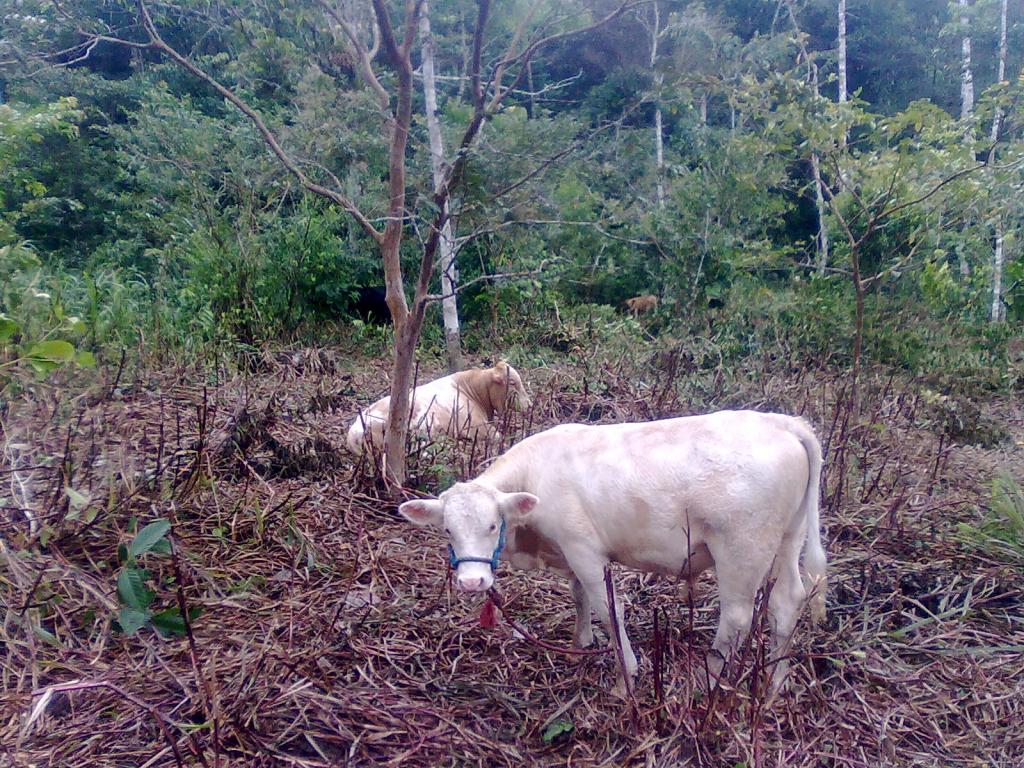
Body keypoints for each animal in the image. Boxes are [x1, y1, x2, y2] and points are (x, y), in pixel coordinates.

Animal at [395, 411, 827, 696]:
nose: (472, 582)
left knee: (736, 618)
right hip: (787, 537)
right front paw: (578, 645)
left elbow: (609, 608)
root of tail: (783, 423)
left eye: (492, 525)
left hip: (741, 550)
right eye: (447, 530)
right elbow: (579, 596)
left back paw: (705, 681)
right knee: (786, 602)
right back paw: (776, 681)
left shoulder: (583, 548)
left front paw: (625, 677)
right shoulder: (567, 551)